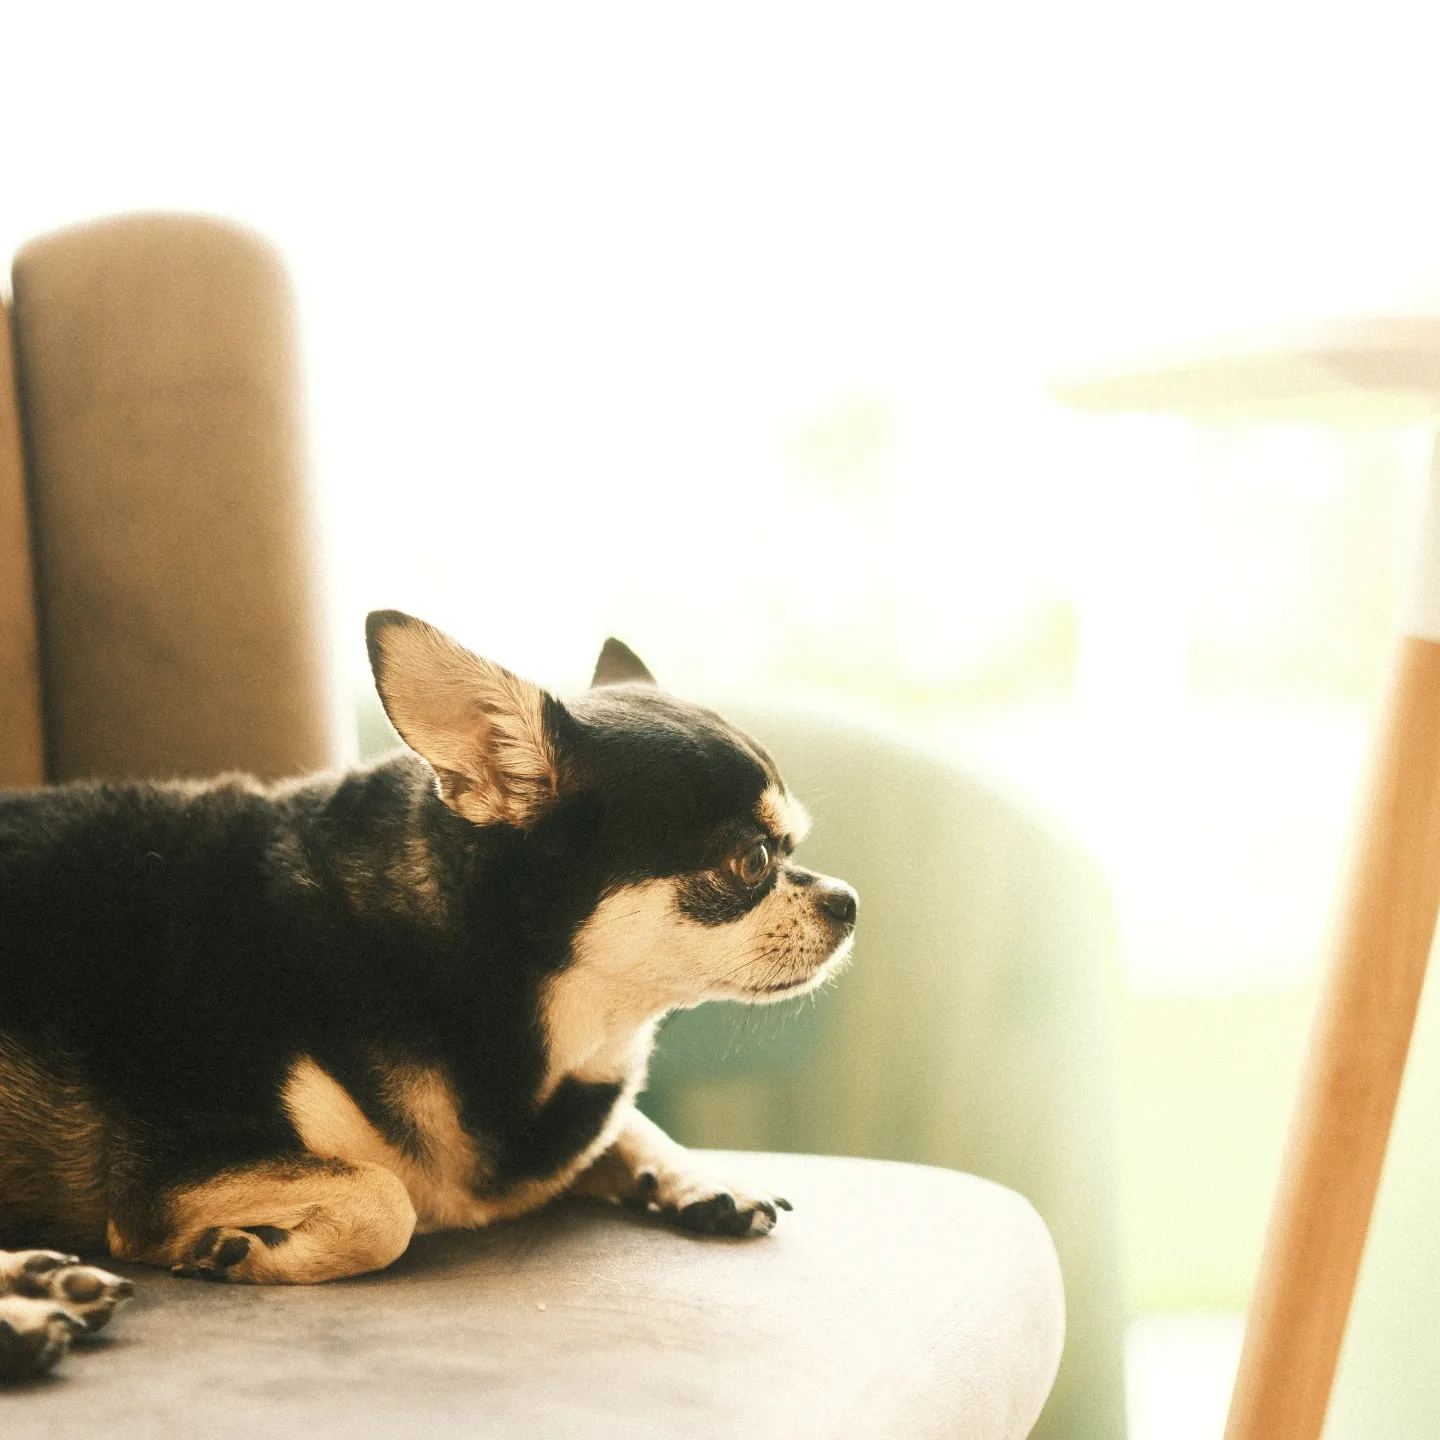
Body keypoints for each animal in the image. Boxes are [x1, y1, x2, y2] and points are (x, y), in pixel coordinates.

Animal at [0, 611, 857, 1379]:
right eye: (752, 861)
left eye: (794, 847)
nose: (848, 901)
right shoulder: (165, 1175)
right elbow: (387, 1202)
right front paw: (248, 1252)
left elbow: (622, 1126)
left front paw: (702, 1175)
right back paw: (29, 1316)